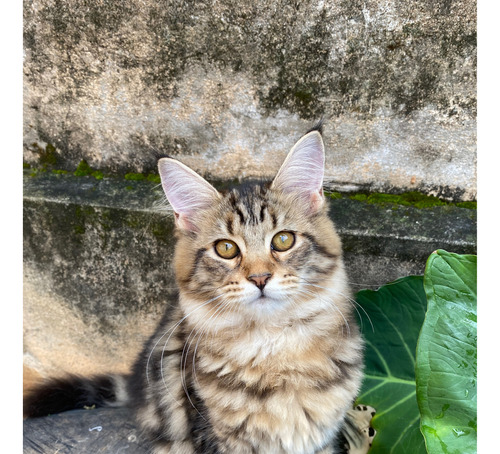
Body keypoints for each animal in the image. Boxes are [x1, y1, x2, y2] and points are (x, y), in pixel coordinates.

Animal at [23, 125, 376, 454]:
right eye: (226, 249)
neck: (274, 351)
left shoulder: (321, 438)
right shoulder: (214, 435)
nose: (260, 278)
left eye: (283, 240)